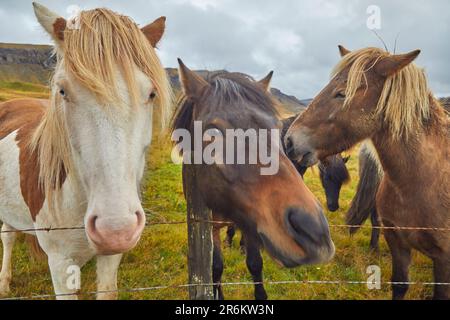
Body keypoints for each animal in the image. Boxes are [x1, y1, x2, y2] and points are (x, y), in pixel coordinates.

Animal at [0, 2, 171, 298]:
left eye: (151, 94)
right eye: (62, 91)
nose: (115, 229)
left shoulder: (111, 258)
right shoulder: (59, 263)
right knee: (7, 237)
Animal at [172, 60, 334, 300]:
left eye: (277, 128)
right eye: (213, 134)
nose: (313, 232)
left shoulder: (251, 221)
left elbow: (255, 263)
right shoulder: (210, 225)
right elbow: (216, 267)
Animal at [286, 45, 448, 300]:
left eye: (342, 93)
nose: (290, 141)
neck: (423, 180)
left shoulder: (443, 260)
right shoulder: (397, 244)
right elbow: (399, 285)